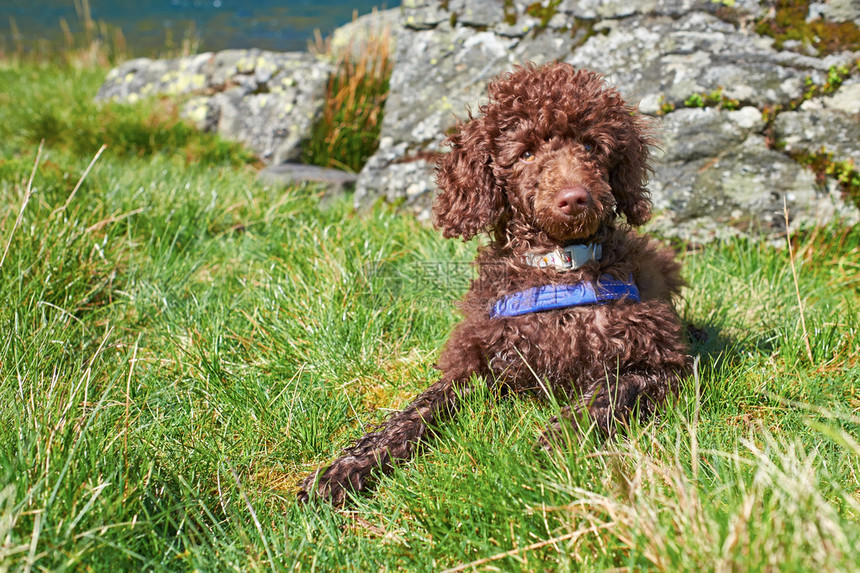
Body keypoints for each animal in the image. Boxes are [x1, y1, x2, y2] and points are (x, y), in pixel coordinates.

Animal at [298, 61, 688, 504]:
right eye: (526, 153)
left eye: (591, 147)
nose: (574, 198)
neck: (558, 268)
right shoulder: (477, 363)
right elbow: (415, 410)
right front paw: (347, 467)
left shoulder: (662, 365)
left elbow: (608, 395)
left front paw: (558, 441)